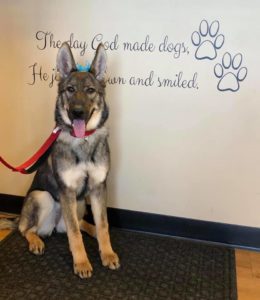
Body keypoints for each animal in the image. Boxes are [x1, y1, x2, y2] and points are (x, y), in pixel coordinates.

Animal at [18, 42, 119, 278]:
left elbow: (103, 225)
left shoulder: (99, 188)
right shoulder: (67, 191)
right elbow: (75, 235)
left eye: (90, 90)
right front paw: (81, 263)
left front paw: (107, 253)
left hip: (80, 203)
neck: (82, 141)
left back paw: (91, 230)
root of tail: (55, 225)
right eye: (70, 90)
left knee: (81, 222)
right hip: (42, 197)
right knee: (27, 229)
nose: (77, 113)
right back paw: (35, 241)